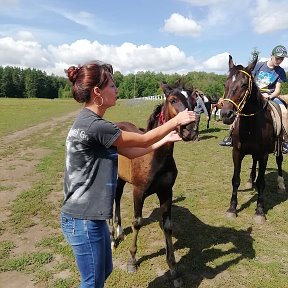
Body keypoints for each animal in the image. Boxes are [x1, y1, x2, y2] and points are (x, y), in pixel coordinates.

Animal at [110, 81, 198, 288]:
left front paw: (174, 270)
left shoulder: (166, 192)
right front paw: (132, 260)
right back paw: (113, 239)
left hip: (122, 178)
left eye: (194, 101)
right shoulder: (138, 192)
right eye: (173, 100)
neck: (155, 157)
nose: (190, 130)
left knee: (117, 197)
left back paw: (119, 231)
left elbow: (167, 226)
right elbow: (137, 222)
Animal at [220, 55, 286, 224]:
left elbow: (262, 182)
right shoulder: (237, 152)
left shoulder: (264, 155)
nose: (226, 114)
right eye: (225, 83)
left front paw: (260, 212)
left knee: (279, 161)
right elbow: (235, 180)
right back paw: (251, 180)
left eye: (244, 84)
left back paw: (281, 184)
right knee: (253, 162)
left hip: (278, 146)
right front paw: (232, 208)